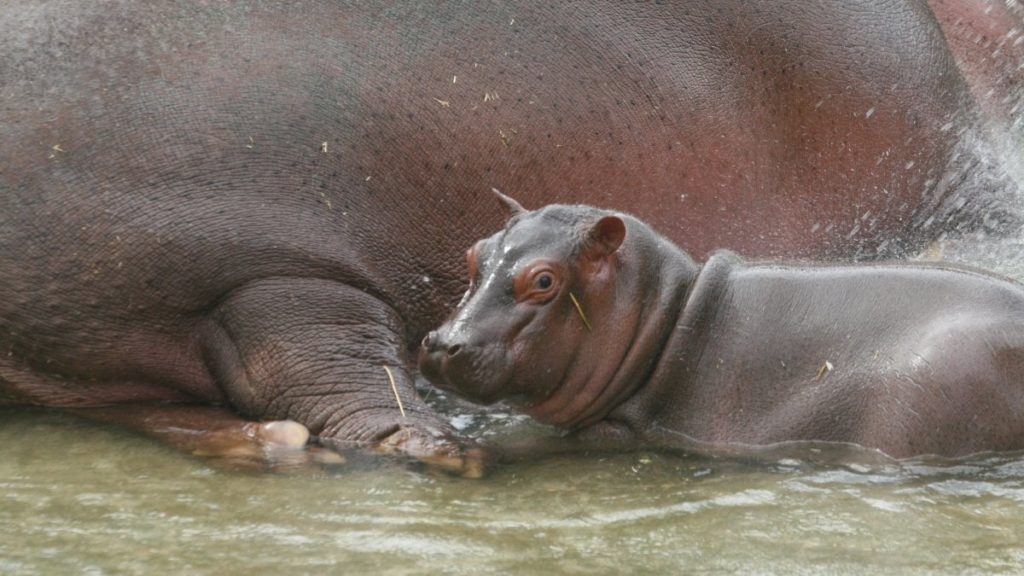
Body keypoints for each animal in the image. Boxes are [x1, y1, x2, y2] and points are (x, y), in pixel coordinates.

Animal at [419, 201, 1024, 457]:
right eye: (475, 254)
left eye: (543, 280)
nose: (445, 343)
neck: (665, 311)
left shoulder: (621, 429)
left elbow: (529, 440)